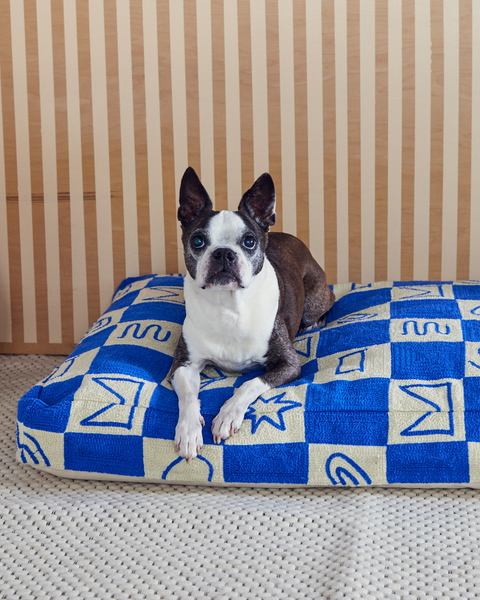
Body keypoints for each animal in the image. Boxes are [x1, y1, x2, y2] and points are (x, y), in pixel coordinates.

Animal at [172, 168, 334, 460]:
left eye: (249, 241)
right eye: (197, 241)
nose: (223, 253)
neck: (228, 305)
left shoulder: (289, 364)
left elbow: (249, 384)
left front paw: (227, 415)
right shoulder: (183, 365)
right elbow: (189, 398)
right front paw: (188, 431)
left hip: (315, 297)